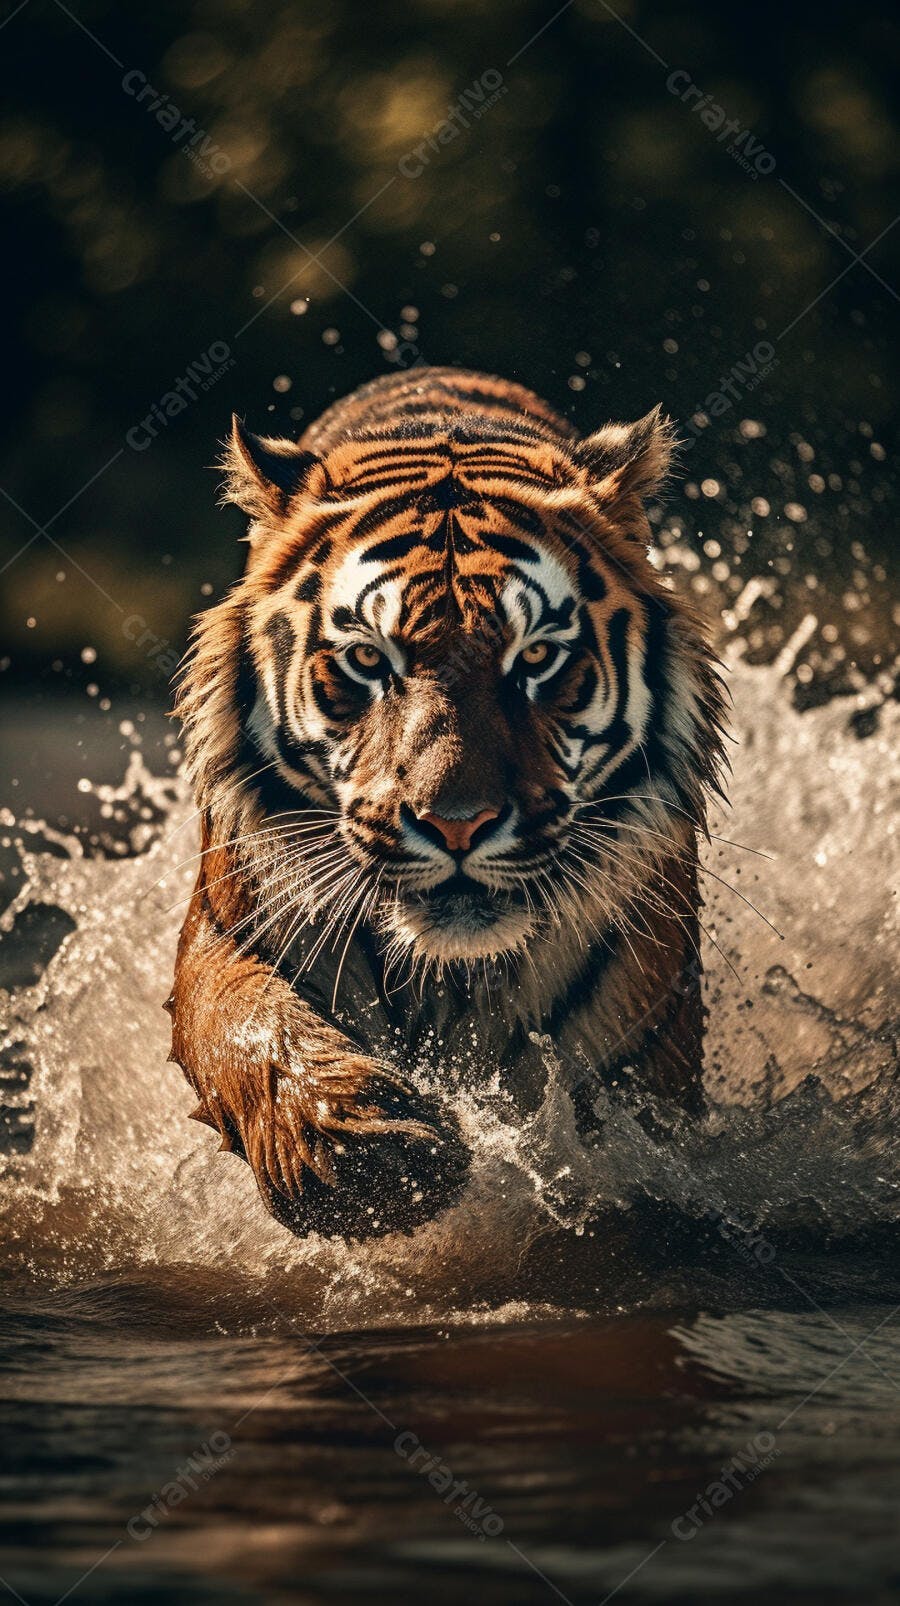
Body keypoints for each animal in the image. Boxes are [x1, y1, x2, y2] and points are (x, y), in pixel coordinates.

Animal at [169, 366, 727, 1238]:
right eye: (369, 660)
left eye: (536, 658)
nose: (456, 825)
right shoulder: (227, 930)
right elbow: (246, 1026)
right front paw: (375, 1160)